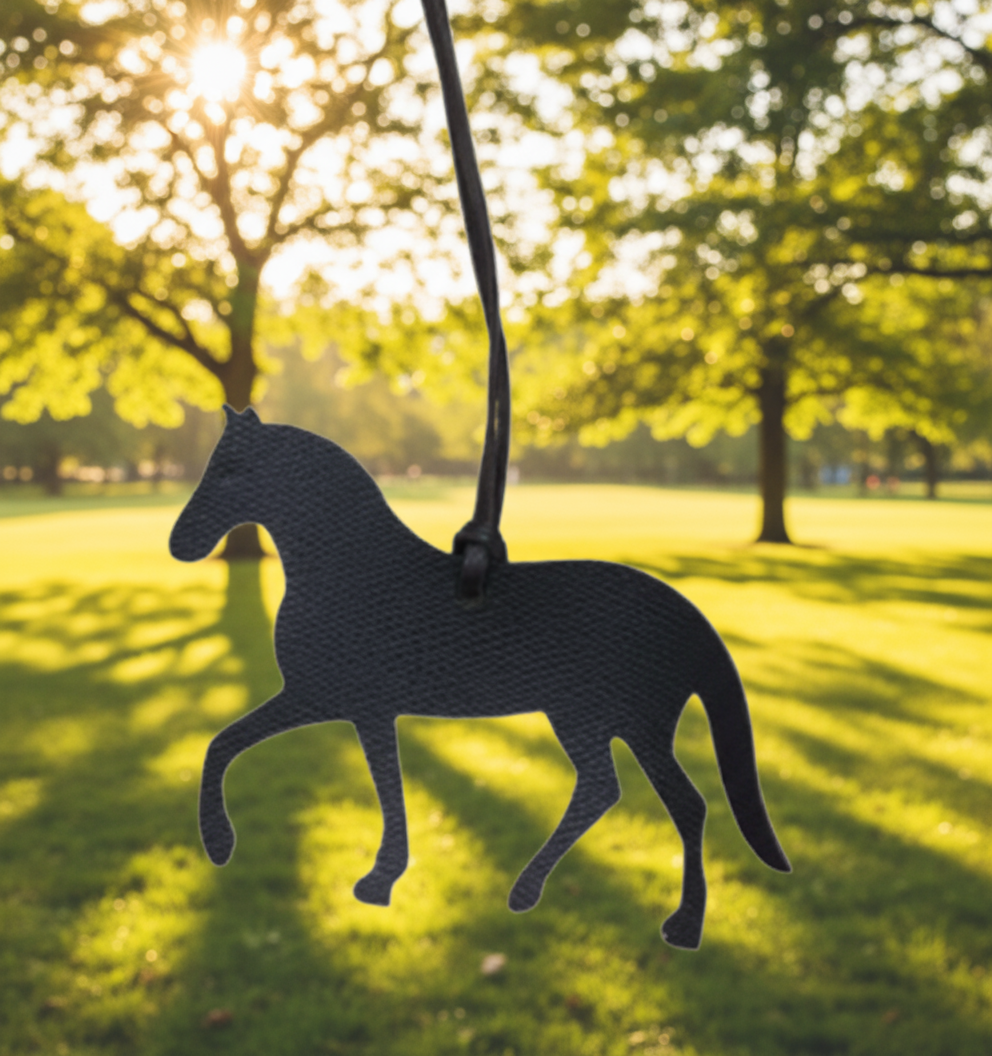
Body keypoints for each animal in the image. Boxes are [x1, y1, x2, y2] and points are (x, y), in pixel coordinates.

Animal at [170, 406, 789, 948]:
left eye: (230, 469)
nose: (180, 543)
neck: (355, 573)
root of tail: (684, 613)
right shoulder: (362, 709)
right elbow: (371, 778)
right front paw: (379, 875)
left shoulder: (322, 698)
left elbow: (227, 745)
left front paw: (223, 845)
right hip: (589, 720)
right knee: (603, 789)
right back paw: (529, 891)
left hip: (630, 724)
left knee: (682, 805)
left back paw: (682, 924)